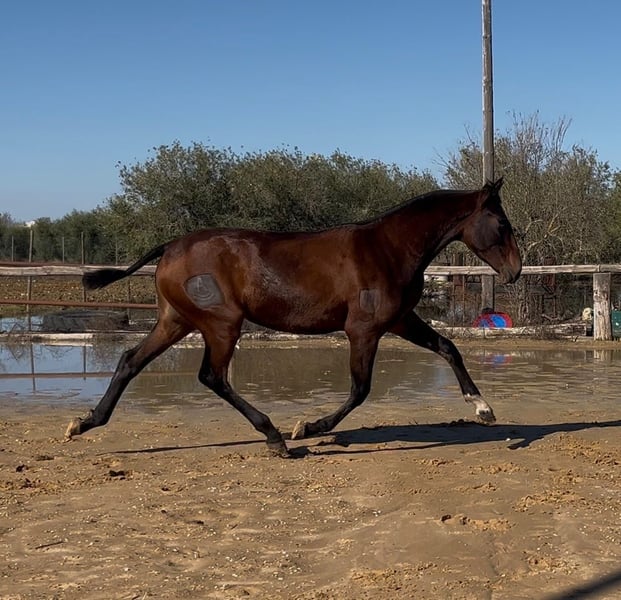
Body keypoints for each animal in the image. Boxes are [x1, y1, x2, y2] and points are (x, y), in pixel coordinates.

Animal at [65, 178, 522, 457]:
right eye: (501, 223)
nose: (515, 271)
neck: (389, 249)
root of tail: (171, 246)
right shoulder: (364, 330)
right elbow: (360, 389)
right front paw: (309, 427)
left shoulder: (398, 321)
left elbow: (448, 347)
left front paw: (482, 409)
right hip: (221, 324)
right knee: (212, 376)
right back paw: (275, 437)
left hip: (176, 320)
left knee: (131, 361)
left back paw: (84, 424)